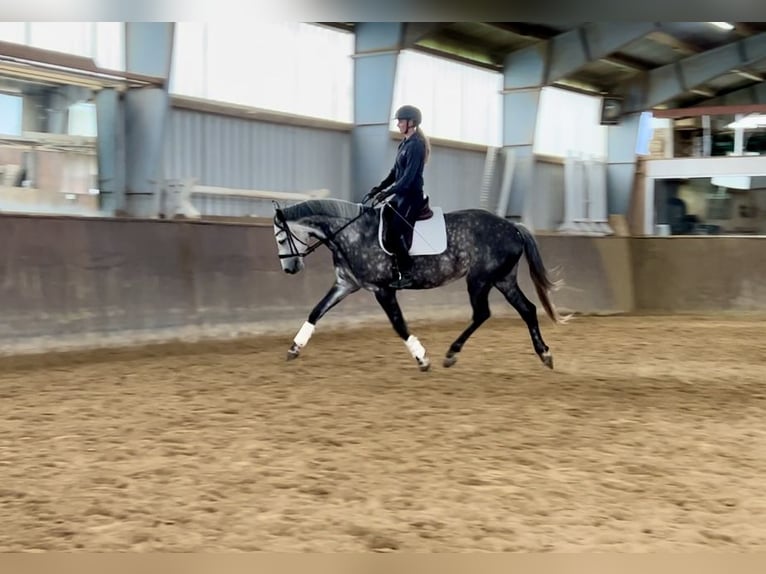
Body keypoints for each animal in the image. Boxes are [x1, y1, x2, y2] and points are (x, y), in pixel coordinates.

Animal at [272, 199, 568, 374]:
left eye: (281, 238)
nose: (289, 269)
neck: (352, 233)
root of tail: (513, 227)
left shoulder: (383, 289)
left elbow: (399, 325)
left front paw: (422, 359)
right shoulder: (346, 284)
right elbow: (316, 312)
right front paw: (294, 348)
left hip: (479, 279)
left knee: (482, 313)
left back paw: (451, 354)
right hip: (503, 279)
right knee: (527, 309)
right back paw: (545, 354)